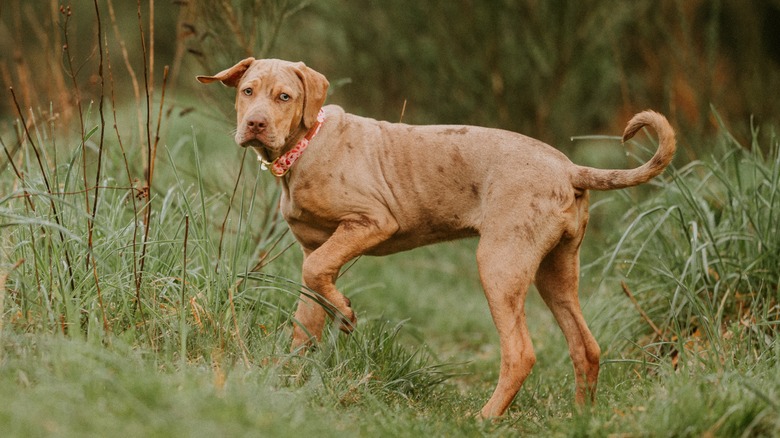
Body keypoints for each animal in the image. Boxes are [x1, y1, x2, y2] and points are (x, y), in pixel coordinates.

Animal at [197, 58, 676, 418]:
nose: (255, 124)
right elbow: (307, 311)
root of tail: (570, 167)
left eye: (284, 97)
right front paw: (286, 377)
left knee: (520, 352)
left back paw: (485, 417)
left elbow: (317, 276)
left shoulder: (372, 221)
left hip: (499, 264)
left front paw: (346, 313)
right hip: (555, 272)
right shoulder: (316, 246)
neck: (305, 145)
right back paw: (581, 417)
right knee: (585, 346)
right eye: (247, 91)